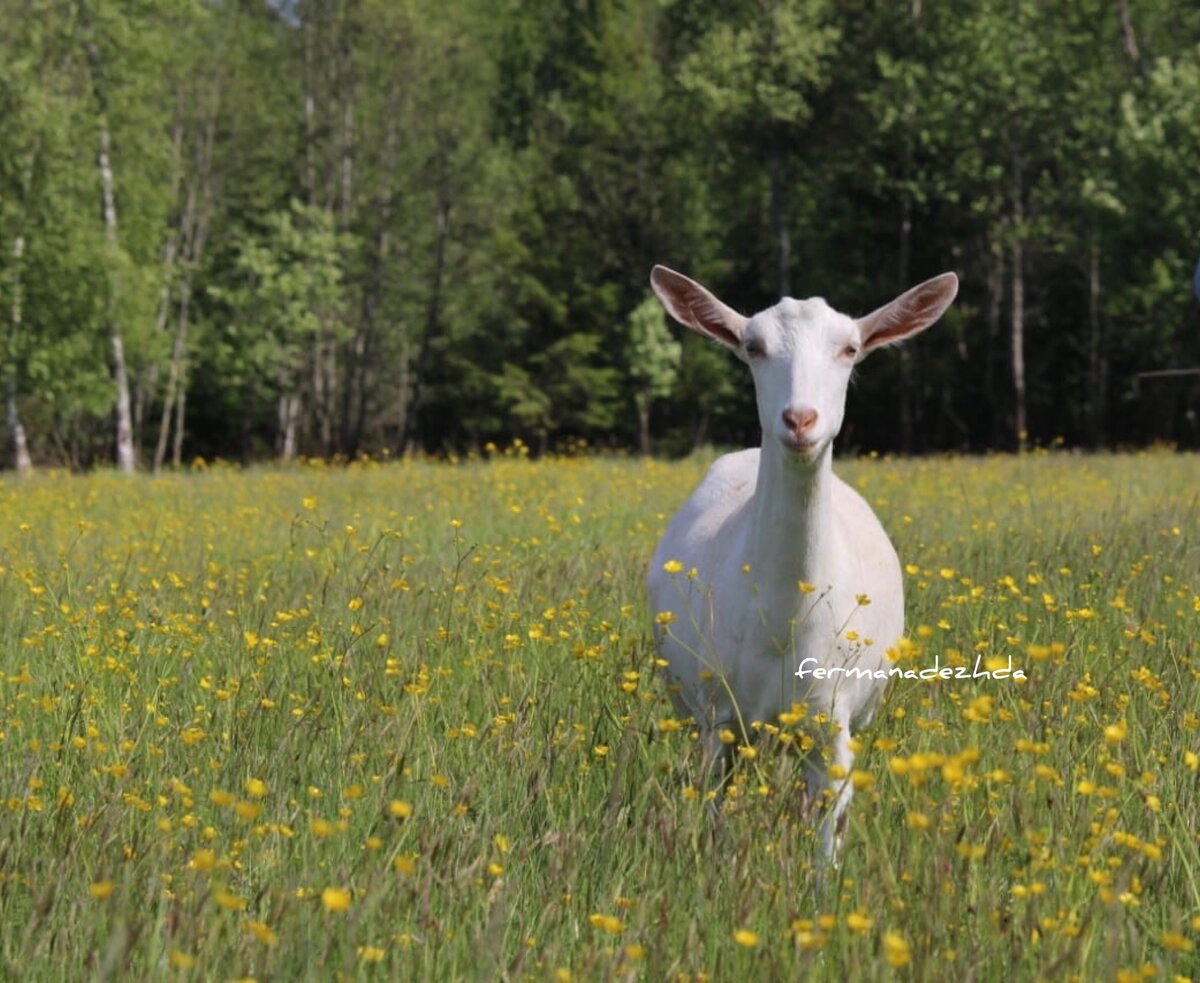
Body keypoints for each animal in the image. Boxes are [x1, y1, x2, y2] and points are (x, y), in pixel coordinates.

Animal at [648, 265, 955, 859]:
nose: (800, 420)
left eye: (850, 349)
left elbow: (827, 830)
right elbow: (716, 810)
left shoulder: (832, 721)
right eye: (753, 346)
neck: (781, 620)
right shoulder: (720, 719)